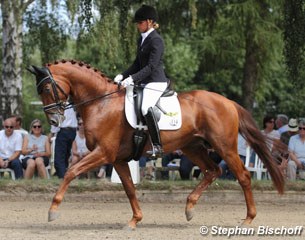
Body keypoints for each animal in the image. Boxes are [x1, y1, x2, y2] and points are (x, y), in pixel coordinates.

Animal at [26, 59, 284, 229]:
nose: (54, 121)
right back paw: (189, 208)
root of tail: (228, 102)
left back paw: (249, 218)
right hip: (193, 147)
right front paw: (134, 220)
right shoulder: (117, 159)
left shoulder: (103, 153)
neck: (100, 103)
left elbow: (71, 171)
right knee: (213, 171)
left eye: (47, 88)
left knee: (243, 176)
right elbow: (129, 188)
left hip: (224, 147)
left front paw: (52, 210)